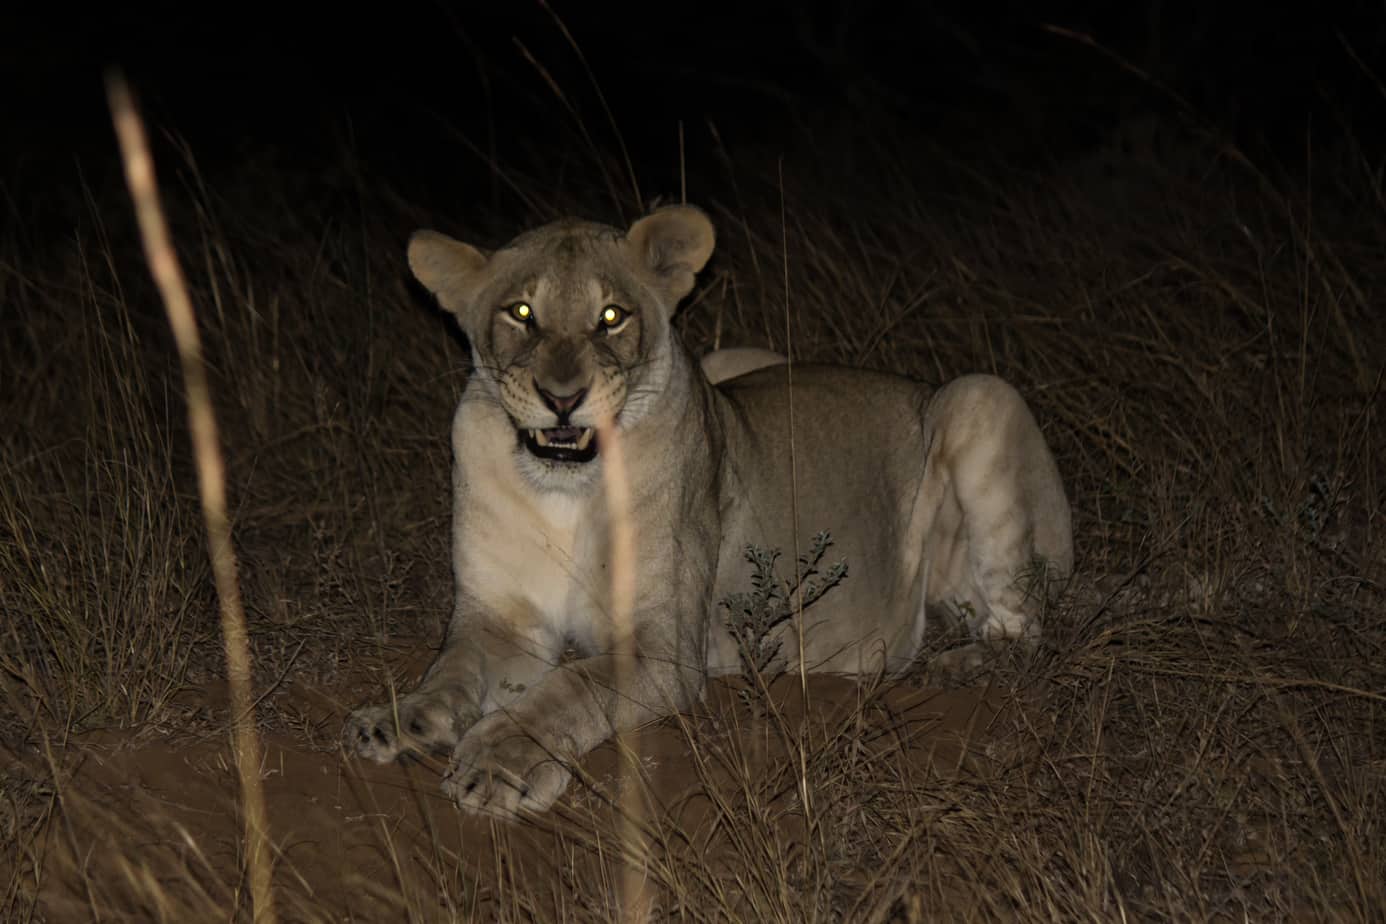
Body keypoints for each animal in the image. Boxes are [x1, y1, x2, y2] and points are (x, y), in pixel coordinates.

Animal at [345, 205, 1072, 817]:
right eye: (521, 312)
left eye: (612, 317)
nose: (562, 398)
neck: (561, 487)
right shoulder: (500, 620)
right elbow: (452, 668)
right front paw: (401, 719)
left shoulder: (666, 648)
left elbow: (572, 686)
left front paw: (501, 762)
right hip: (732, 358)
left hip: (980, 398)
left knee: (1026, 632)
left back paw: (956, 664)